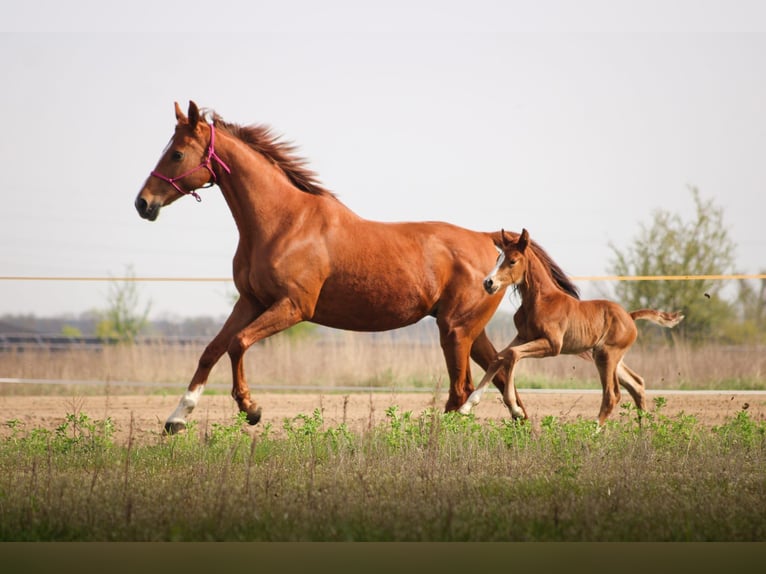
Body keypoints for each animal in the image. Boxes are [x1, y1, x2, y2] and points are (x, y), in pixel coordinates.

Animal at [135, 102, 580, 436]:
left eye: (176, 153)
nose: (143, 203)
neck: (284, 222)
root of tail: (491, 240)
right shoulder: (250, 301)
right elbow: (212, 349)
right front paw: (177, 418)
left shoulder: (292, 307)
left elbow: (238, 344)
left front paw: (251, 409)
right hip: (469, 329)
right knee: (496, 374)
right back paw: (519, 426)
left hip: (455, 330)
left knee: (462, 390)